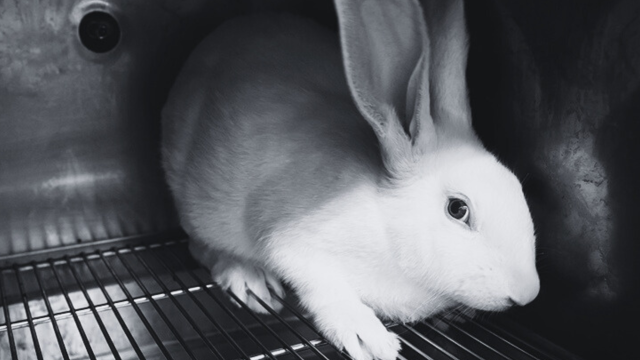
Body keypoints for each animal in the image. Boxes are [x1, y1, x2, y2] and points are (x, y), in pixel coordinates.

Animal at [161, 0, 540, 358]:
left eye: (517, 187)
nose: (527, 293)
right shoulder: (295, 245)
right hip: (199, 210)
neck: (386, 226)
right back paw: (250, 279)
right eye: (458, 209)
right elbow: (324, 289)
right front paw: (368, 339)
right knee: (202, 247)